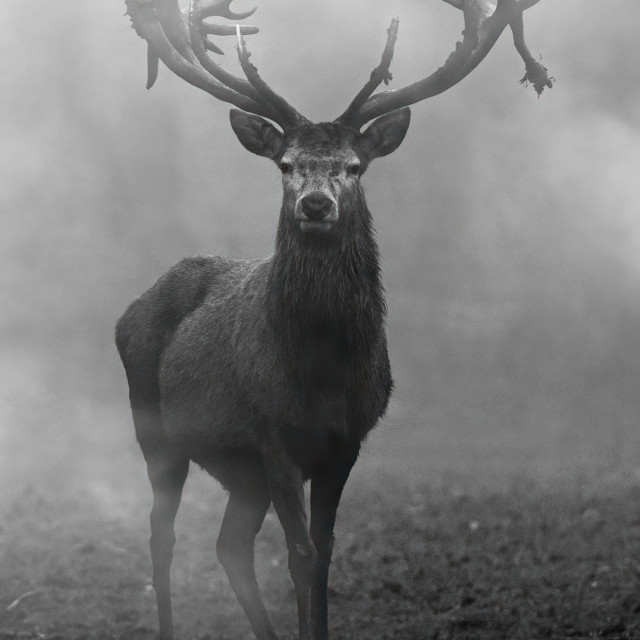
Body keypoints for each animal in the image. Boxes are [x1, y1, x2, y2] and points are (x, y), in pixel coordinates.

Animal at [117, 1, 552, 640]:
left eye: (354, 166)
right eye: (286, 164)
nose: (316, 203)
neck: (322, 370)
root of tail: (130, 308)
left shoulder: (346, 440)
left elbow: (323, 553)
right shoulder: (271, 430)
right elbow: (299, 554)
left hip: (240, 471)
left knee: (229, 545)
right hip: (155, 431)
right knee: (161, 536)